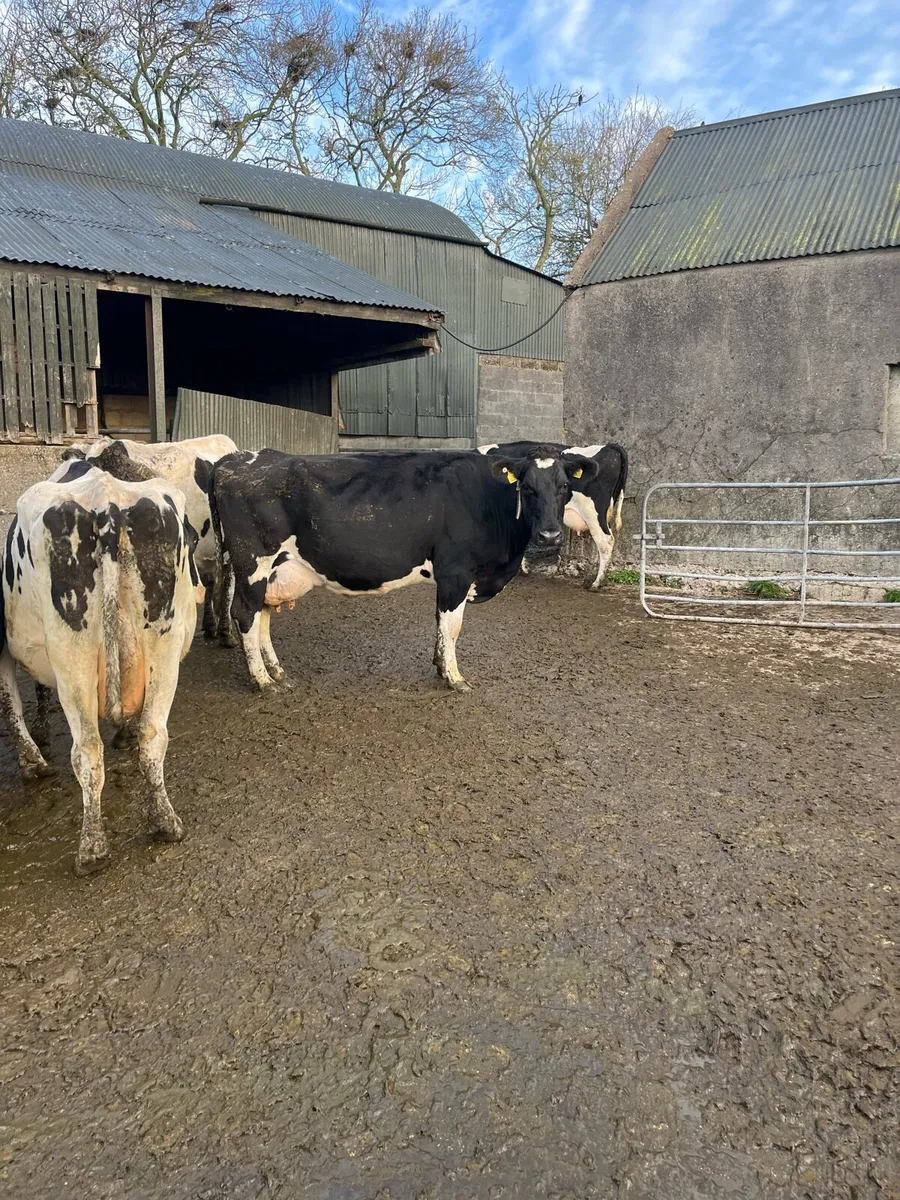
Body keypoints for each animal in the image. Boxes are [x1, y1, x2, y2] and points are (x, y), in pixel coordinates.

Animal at [0, 455, 202, 874]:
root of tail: (107, 503)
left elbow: (13, 700)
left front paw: (33, 758)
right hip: (164, 644)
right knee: (153, 735)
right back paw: (165, 824)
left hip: (71, 655)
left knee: (87, 751)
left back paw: (91, 850)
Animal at [211, 447, 599, 693]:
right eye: (528, 487)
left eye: (565, 486)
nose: (550, 535)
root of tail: (237, 459)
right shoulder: (456, 571)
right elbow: (452, 626)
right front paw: (453, 677)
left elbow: (442, 625)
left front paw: (441, 666)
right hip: (252, 563)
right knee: (244, 613)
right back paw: (262, 681)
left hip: (271, 569)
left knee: (262, 614)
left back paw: (278, 672)